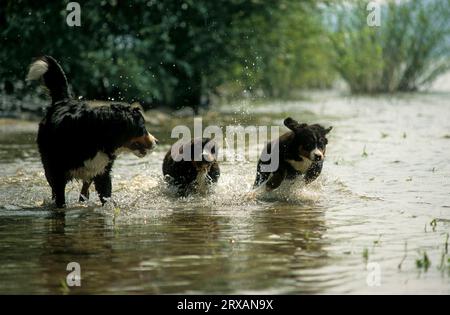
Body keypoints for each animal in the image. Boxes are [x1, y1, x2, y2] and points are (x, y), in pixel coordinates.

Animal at [27, 56, 158, 210]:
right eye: (142, 127)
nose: (156, 141)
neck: (98, 136)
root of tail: (63, 101)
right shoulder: (58, 173)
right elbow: (60, 198)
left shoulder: (102, 172)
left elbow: (106, 196)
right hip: (49, 165)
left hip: (90, 172)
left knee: (84, 190)